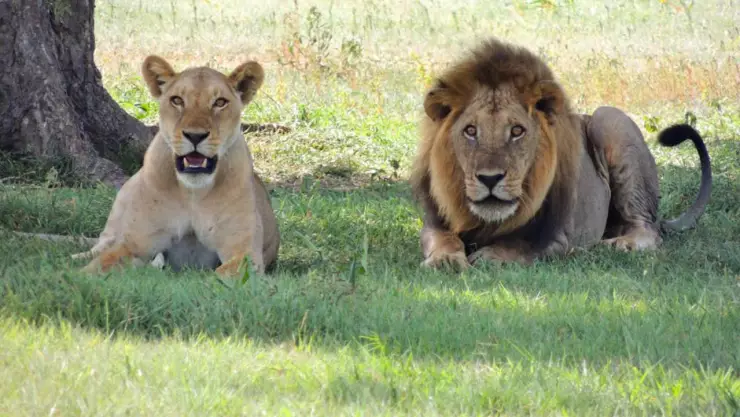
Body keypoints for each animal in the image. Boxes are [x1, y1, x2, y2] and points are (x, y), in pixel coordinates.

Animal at [77, 55, 280, 276]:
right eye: (177, 100)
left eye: (220, 102)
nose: (195, 135)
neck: (193, 193)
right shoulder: (135, 244)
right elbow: (99, 264)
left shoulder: (245, 254)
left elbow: (221, 275)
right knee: (101, 244)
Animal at [410, 38, 712, 269]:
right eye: (471, 131)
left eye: (517, 131)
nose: (490, 179)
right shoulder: (435, 223)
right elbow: (443, 239)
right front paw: (446, 260)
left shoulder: (559, 236)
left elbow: (521, 246)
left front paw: (490, 256)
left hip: (609, 120)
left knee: (648, 230)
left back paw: (615, 245)